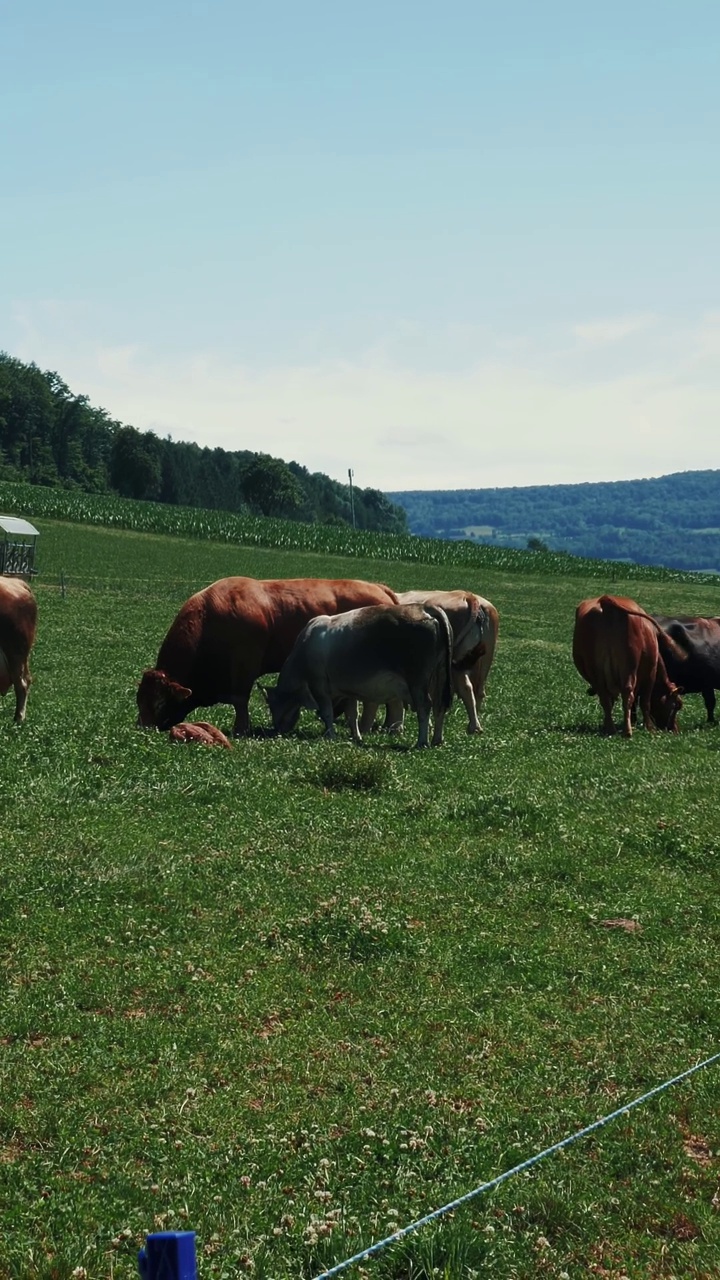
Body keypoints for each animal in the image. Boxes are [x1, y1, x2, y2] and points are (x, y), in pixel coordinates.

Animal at [134, 578, 397, 737]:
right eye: (139, 700)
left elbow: (240, 700)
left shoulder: (245, 663)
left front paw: (241, 729)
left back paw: (389, 727)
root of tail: (378, 587)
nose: (142, 729)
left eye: (159, 703)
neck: (210, 617)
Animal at [263, 601, 453, 747]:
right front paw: (356, 736)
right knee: (439, 706)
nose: (276, 730)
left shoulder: (319, 687)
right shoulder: (348, 691)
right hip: (440, 675)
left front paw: (330, 735)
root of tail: (425, 607)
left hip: (417, 682)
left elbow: (327, 712)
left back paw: (422, 742)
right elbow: (352, 715)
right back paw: (437, 740)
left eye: (272, 705)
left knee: (425, 706)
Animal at [568, 593, 681, 737]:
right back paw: (627, 731)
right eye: (676, 705)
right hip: (629, 666)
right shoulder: (651, 671)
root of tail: (606, 601)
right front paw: (648, 727)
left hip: (596, 671)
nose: (675, 730)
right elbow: (645, 702)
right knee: (628, 694)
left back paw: (611, 729)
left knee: (606, 698)